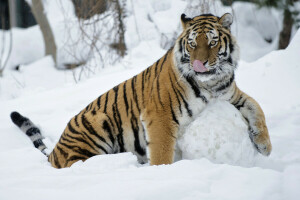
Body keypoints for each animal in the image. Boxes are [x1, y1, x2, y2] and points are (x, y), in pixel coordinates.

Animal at [10, 12, 272, 169]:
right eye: (192, 44)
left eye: (213, 42)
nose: (200, 64)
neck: (210, 83)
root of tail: (55, 152)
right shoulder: (161, 116)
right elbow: (162, 150)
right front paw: (161, 171)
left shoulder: (232, 95)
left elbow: (257, 107)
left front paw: (265, 147)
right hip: (97, 124)